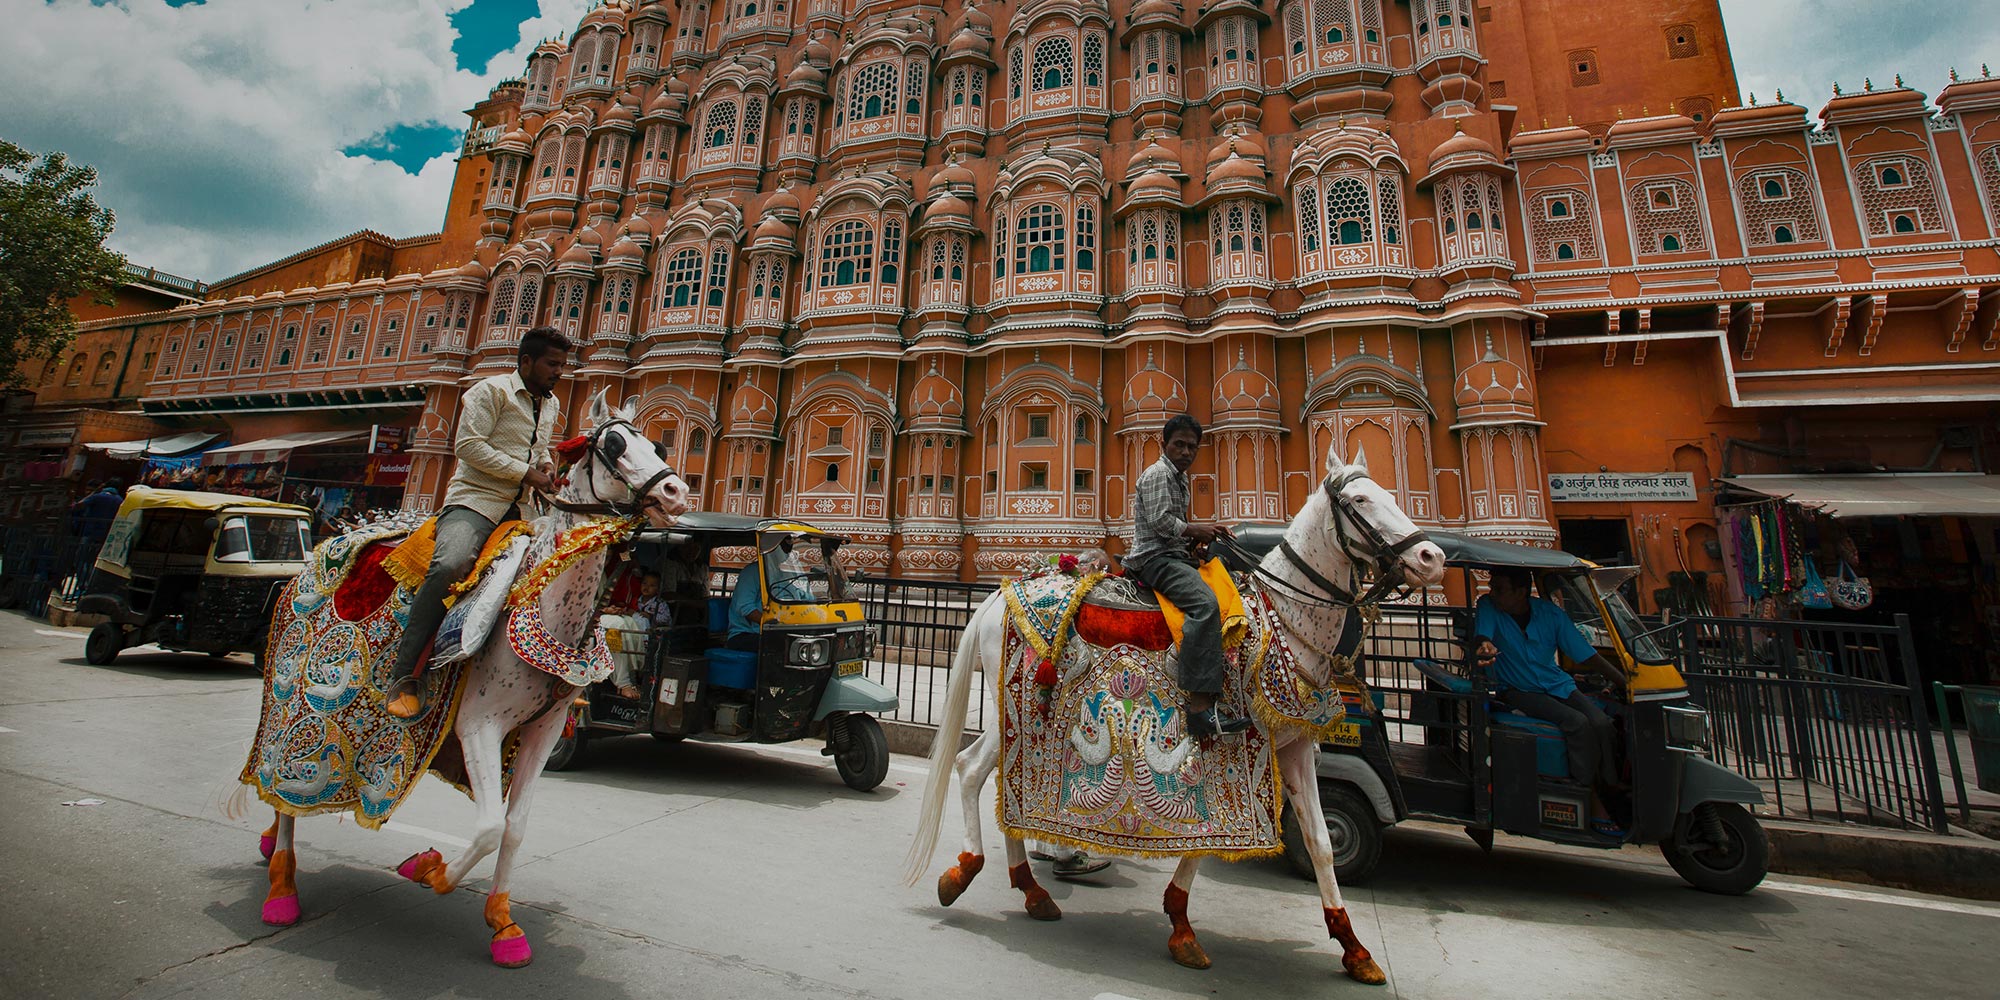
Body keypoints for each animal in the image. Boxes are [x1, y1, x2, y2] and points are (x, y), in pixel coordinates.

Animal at [244, 392, 688, 968]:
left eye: (659, 445)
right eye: (613, 444)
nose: (676, 491)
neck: (549, 608)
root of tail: (322, 548)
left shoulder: (545, 727)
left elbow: (515, 829)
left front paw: (503, 923)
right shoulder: (478, 722)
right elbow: (488, 827)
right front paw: (429, 870)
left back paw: (269, 849)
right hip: (291, 693)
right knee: (280, 782)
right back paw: (281, 886)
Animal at [904, 446, 1440, 984]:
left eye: (1389, 493)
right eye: (1359, 501)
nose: (1431, 557)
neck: (1283, 622)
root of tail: (999, 593)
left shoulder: (1294, 744)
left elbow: (1319, 841)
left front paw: (1354, 948)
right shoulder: (1233, 743)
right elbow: (1210, 834)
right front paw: (1182, 927)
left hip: (1013, 715)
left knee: (990, 774)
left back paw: (1031, 890)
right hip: (1016, 709)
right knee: (972, 769)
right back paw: (966, 872)